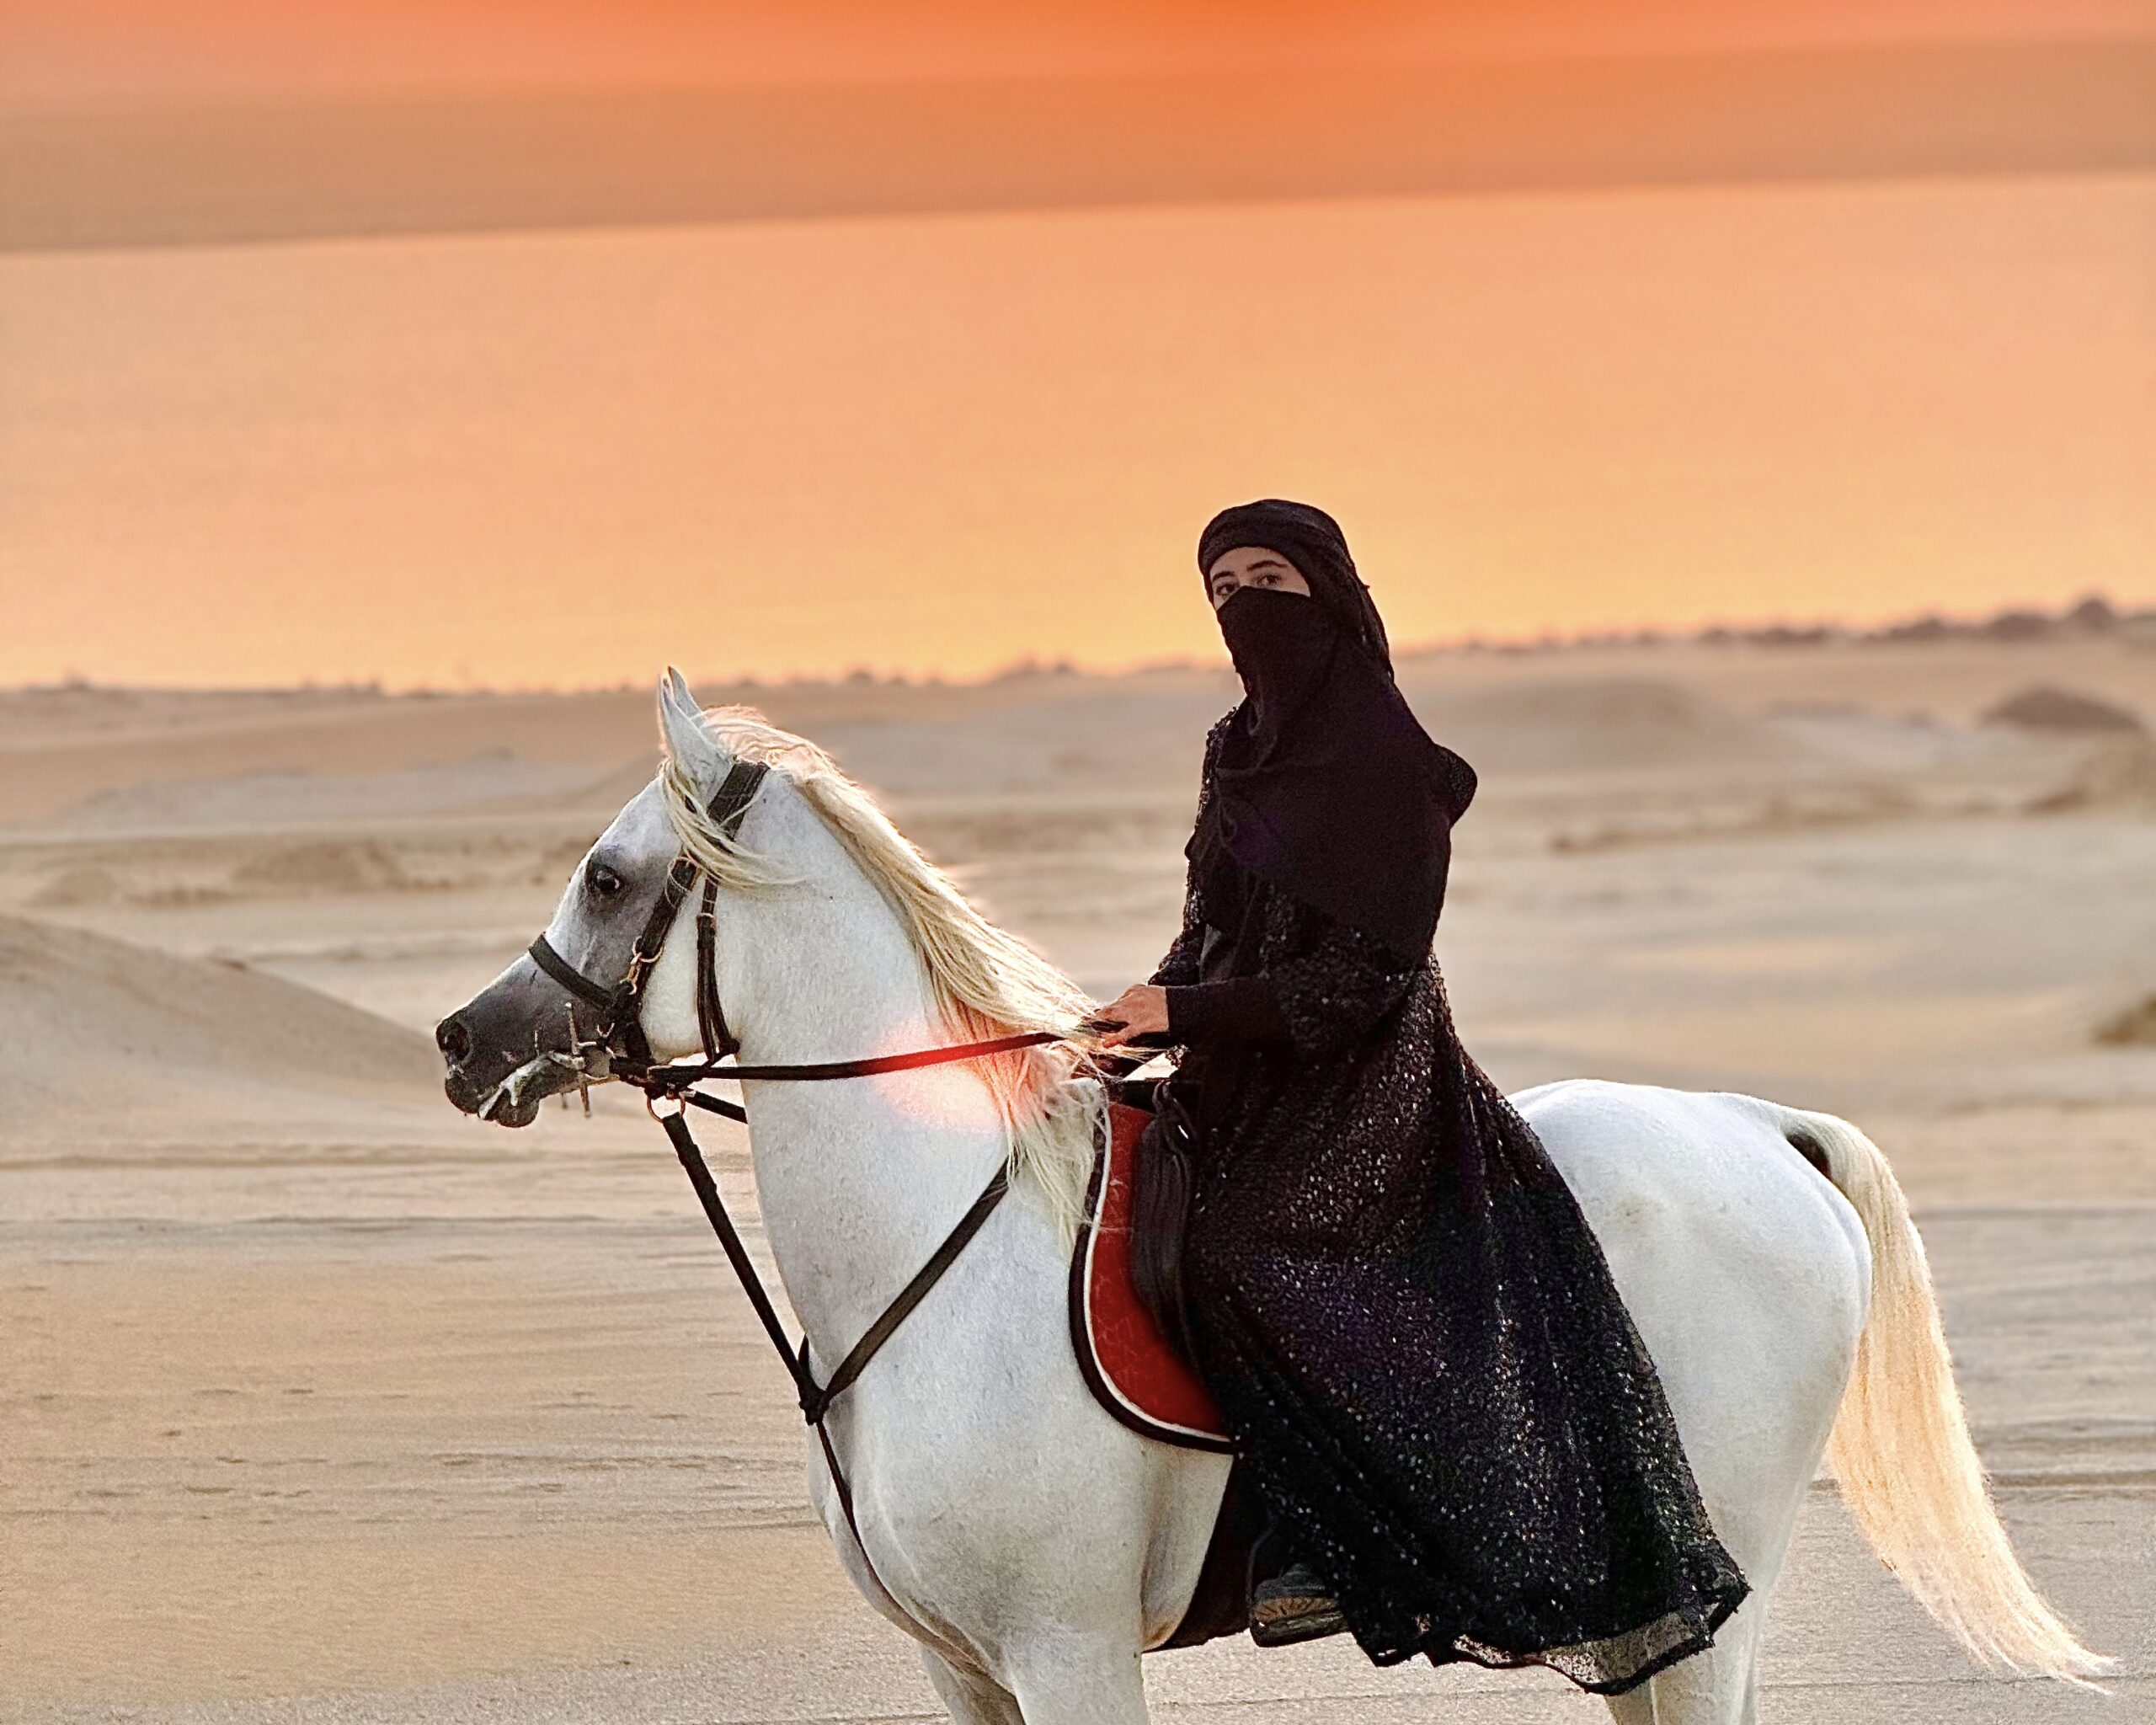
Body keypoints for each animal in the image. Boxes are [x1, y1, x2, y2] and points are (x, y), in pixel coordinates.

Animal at [435, 671, 2107, 1724]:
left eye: (604, 875)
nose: (463, 1043)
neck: (931, 1259)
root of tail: (1760, 1131)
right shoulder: (963, 1668)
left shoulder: (1069, 1652)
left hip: (1706, 1591)